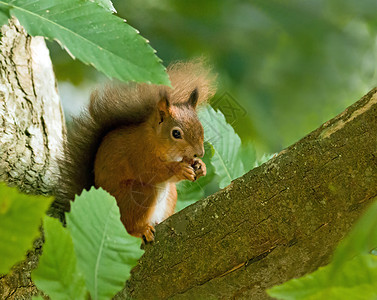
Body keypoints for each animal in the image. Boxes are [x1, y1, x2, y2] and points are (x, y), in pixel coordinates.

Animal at [54, 61, 216, 241]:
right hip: (138, 195)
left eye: (201, 127)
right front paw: (180, 169)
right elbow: (152, 171)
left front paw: (200, 166)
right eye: (176, 133)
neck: (155, 139)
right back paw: (140, 230)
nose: (199, 153)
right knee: (130, 224)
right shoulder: (138, 153)